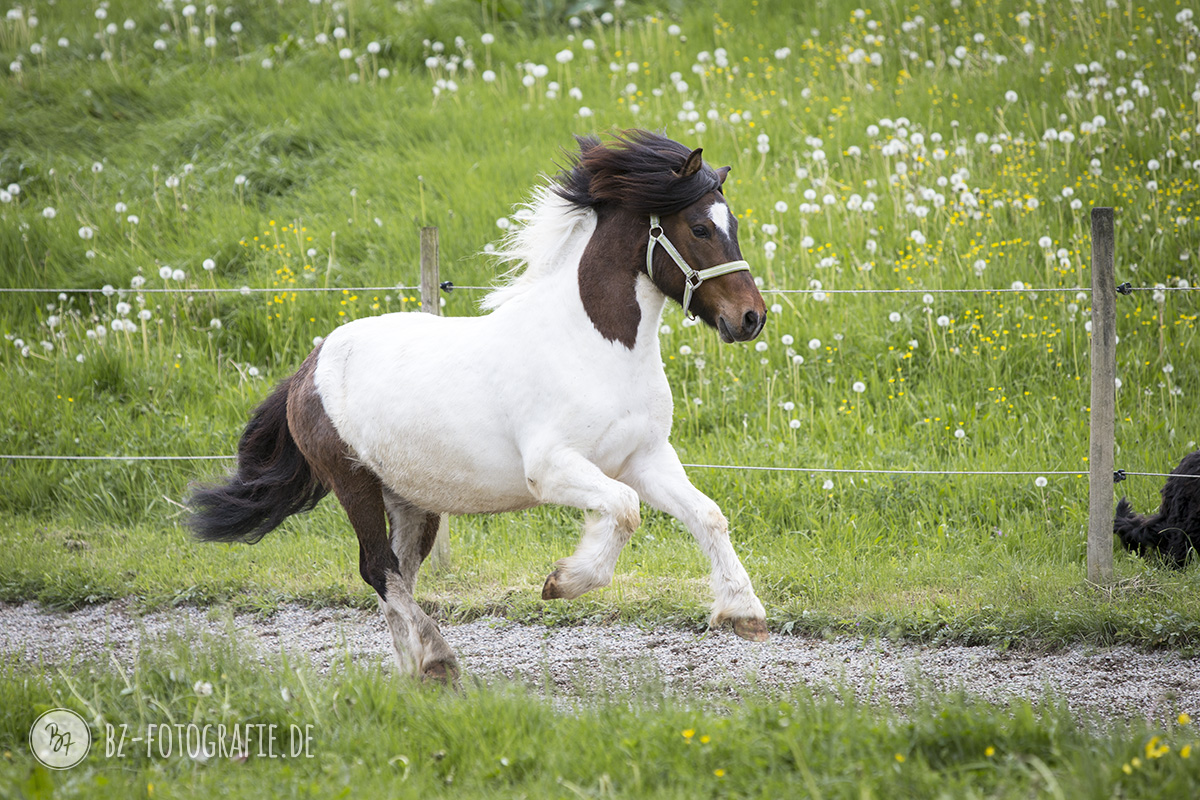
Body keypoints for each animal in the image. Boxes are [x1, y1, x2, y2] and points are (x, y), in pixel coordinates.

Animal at [188, 130, 769, 682]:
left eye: (734, 224)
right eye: (699, 229)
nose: (751, 318)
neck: (596, 347)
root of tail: (307, 368)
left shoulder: (644, 458)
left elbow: (708, 515)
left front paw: (744, 613)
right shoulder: (552, 468)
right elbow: (624, 510)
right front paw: (561, 582)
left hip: (410, 498)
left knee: (400, 572)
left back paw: (412, 669)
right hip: (353, 483)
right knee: (377, 568)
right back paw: (437, 659)